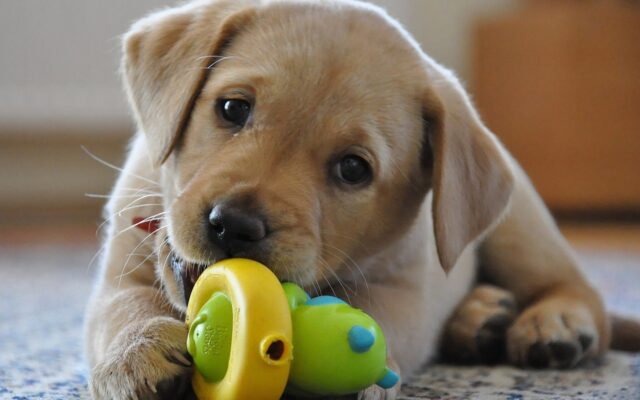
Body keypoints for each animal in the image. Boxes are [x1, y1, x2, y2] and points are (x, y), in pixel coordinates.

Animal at [86, 0, 636, 400]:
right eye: (231, 109)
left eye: (353, 169)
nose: (235, 225)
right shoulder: (122, 263)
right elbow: (125, 306)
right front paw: (136, 353)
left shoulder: (406, 290)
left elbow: (376, 316)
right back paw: (480, 318)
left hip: (519, 227)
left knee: (579, 290)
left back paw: (553, 323)